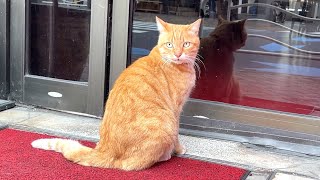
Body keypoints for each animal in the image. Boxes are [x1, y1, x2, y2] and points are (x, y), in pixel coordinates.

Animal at [31, 16, 201, 170]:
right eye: (169, 45)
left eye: (186, 44)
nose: (177, 54)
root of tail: (106, 150)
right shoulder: (176, 110)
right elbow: (177, 134)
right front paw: (178, 149)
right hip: (166, 122)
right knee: (134, 164)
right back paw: (165, 155)